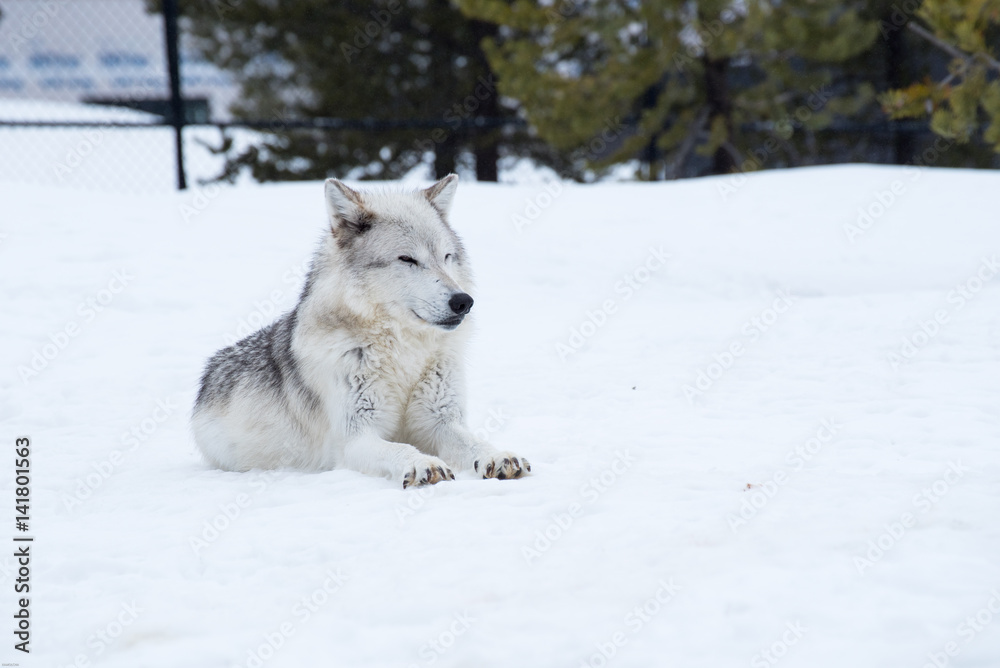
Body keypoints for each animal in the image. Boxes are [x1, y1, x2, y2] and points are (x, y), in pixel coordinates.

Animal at [192, 175, 530, 487]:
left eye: (447, 257)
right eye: (408, 259)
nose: (463, 301)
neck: (404, 356)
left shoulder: (440, 421)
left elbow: (474, 442)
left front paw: (499, 455)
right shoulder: (356, 438)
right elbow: (401, 449)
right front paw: (423, 464)